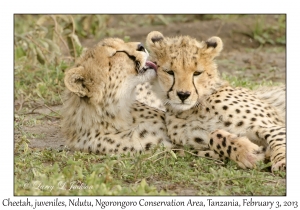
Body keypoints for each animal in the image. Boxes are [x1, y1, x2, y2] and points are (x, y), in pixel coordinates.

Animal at [145, 31, 286, 172]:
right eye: (169, 72)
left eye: (197, 73)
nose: (183, 95)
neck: (197, 108)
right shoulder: (196, 144)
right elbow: (214, 135)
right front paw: (248, 153)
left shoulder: (270, 125)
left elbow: (277, 137)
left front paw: (281, 160)